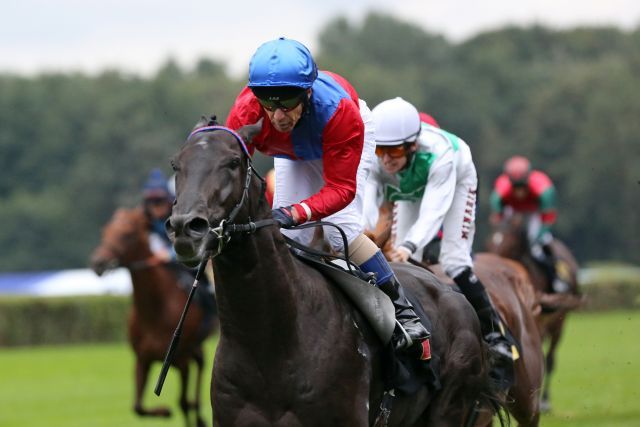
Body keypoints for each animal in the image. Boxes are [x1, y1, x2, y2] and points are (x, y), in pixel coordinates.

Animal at [89, 206, 218, 426]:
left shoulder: (180, 359)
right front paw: (164, 411)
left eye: (127, 235)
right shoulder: (142, 359)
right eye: (105, 231)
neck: (154, 312)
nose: (98, 263)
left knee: (199, 370)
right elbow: (138, 407)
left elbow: (182, 402)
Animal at [168, 117, 508, 427]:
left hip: (449, 409)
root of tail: (455, 296)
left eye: (233, 162)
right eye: (176, 164)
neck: (271, 343)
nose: (187, 227)